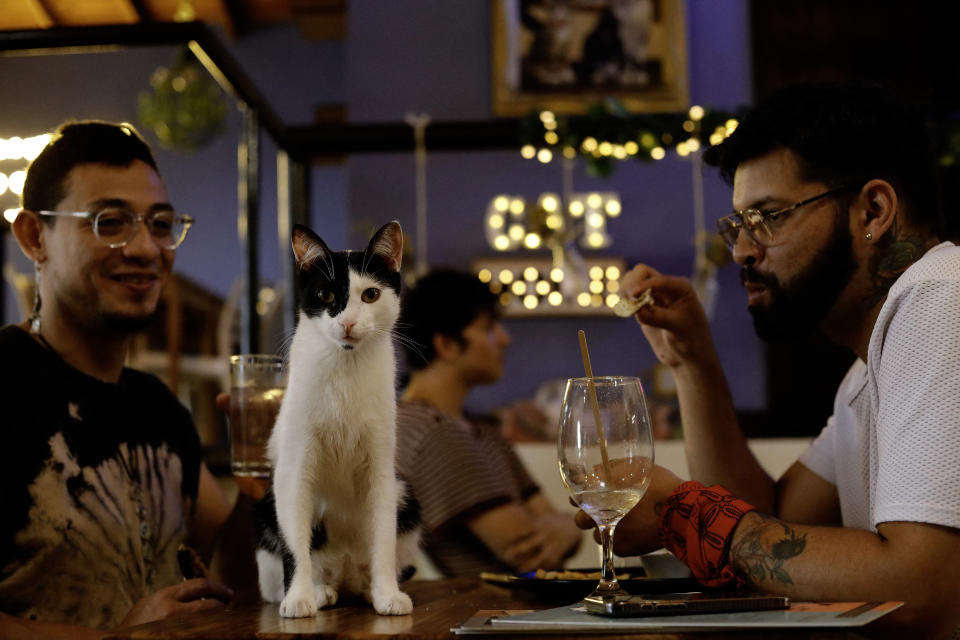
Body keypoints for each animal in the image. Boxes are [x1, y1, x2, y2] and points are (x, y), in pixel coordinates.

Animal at [255, 220, 420, 616]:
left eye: (371, 295)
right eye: (326, 295)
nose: (347, 323)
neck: (345, 367)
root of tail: (342, 571)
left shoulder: (381, 468)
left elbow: (384, 538)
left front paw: (387, 593)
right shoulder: (292, 469)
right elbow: (293, 541)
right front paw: (298, 597)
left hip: (405, 495)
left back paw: (367, 588)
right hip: (265, 510)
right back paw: (318, 590)